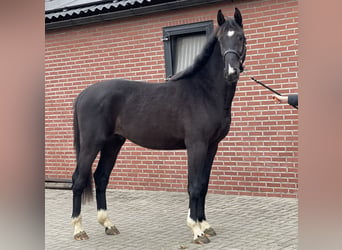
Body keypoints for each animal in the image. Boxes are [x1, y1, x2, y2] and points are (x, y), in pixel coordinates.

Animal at [71, 7, 246, 244]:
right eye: (220, 40)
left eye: (241, 37)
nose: (231, 72)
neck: (205, 92)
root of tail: (83, 95)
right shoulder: (196, 145)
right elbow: (194, 185)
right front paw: (196, 230)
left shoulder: (212, 146)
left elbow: (204, 184)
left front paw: (205, 225)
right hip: (92, 144)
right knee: (79, 179)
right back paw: (79, 230)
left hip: (113, 143)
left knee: (101, 176)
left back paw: (108, 224)